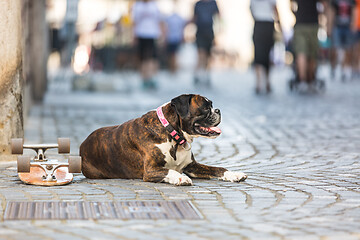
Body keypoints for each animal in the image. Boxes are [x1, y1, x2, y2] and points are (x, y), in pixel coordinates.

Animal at [80, 94, 246, 186]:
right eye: (206, 108)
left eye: (212, 105)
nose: (218, 110)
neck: (173, 135)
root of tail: (83, 143)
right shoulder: (150, 170)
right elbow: (169, 171)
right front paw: (181, 178)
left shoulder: (192, 166)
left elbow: (218, 169)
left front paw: (234, 174)